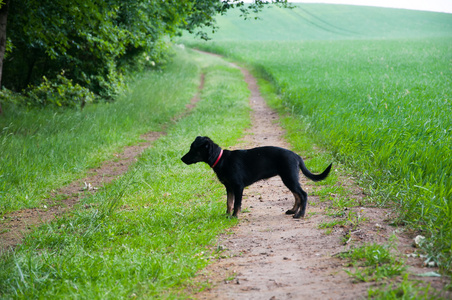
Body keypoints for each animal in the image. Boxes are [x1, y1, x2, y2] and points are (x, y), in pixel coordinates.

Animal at [180, 136, 332, 218]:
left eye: (193, 149)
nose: (181, 159)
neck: (221, 159)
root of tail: (297, 156)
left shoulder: (238, 186)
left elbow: (237, 203)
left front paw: (234, 216)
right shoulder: (229, 187)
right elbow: (229, 202)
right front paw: (227, 215)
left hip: (289, 177)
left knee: (303, 194)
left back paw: (300, 214)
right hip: (289, 178)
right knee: (297, 195)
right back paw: (293, 211)